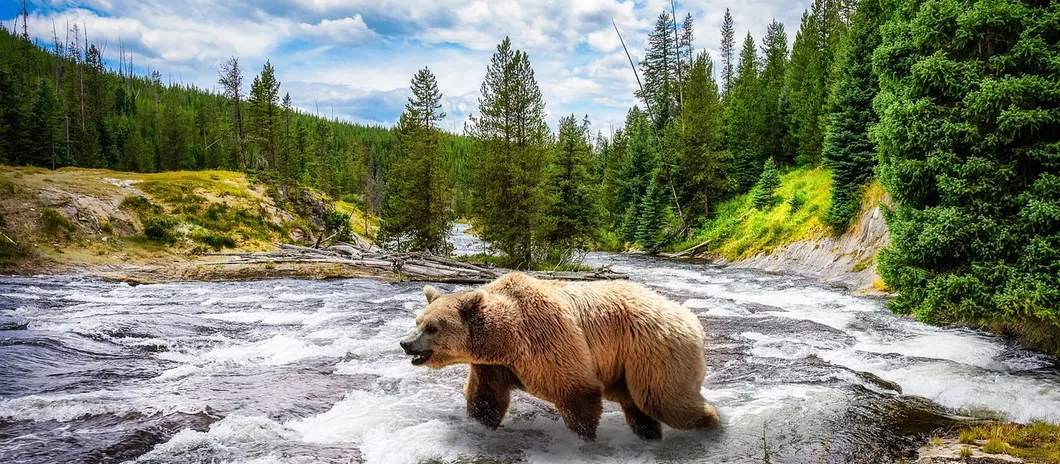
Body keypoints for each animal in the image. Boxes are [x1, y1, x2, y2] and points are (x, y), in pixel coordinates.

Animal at [399, 272, 719, 441]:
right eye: (418, 320)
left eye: (432, 327)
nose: (405, 343)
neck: (505, 339)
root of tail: (691, 318)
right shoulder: (493, 365)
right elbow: (486, 398)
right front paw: (480, 424)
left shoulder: (546, 340)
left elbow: (576, 390)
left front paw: (584, 438)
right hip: (625, 366)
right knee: (638, 403)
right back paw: (648, 433)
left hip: (653, 350)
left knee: (663, 398)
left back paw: (711, 425)